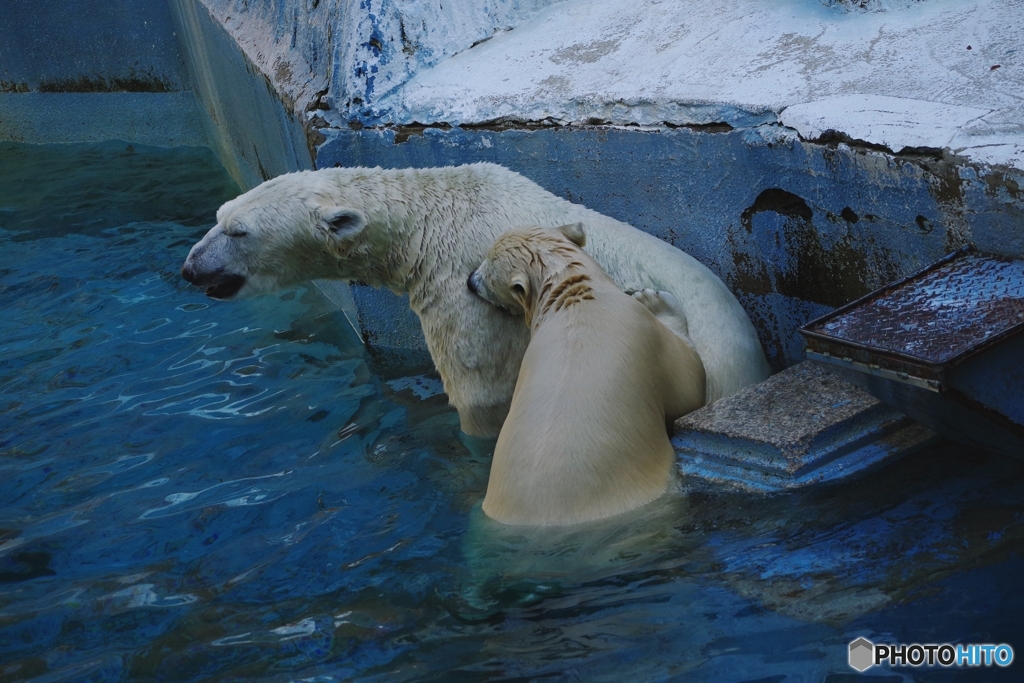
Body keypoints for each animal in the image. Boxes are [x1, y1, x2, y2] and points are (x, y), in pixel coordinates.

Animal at [180, 162, 770, 436]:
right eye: (218, 217)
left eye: (238, 232)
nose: (190, 268)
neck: (427, 225)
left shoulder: (467, 294)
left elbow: (483, 393)